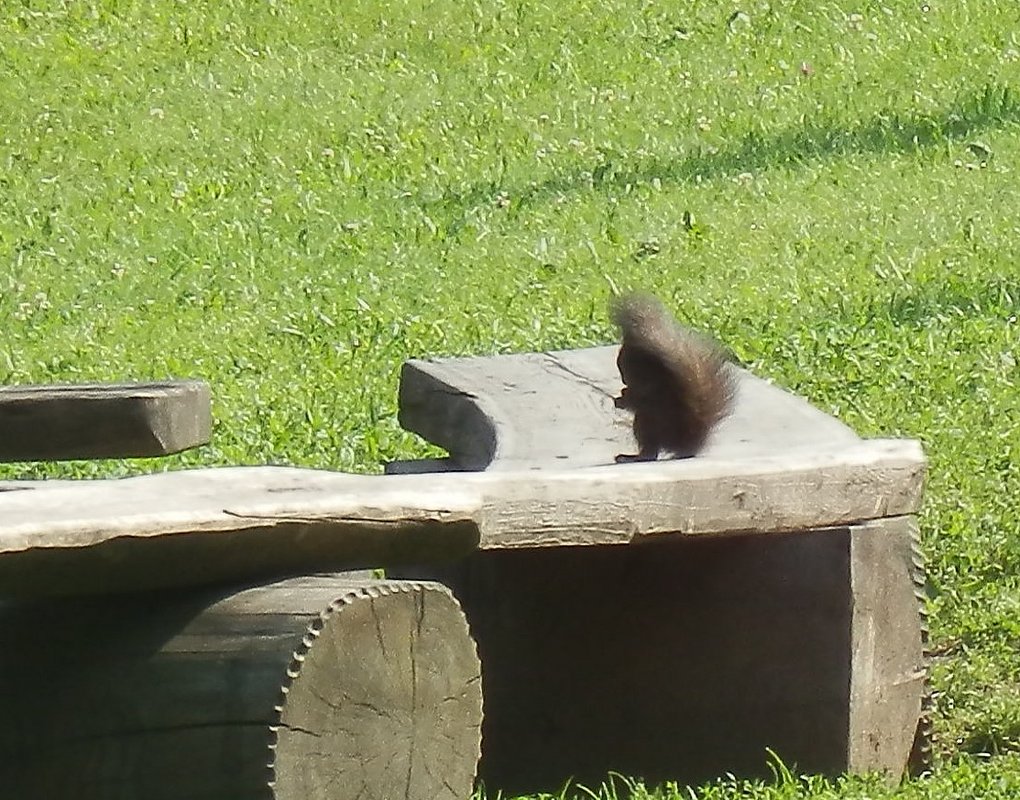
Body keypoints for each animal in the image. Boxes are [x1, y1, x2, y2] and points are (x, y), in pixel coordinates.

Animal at [611, 293, 736, 463]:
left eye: (625, 365)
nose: (624, 380)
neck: (652, 375)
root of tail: (683, 445)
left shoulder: (650, 392)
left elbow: (636, 401)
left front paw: (621, 399)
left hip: (646, 423)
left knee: (650, 453)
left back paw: (629, 457)